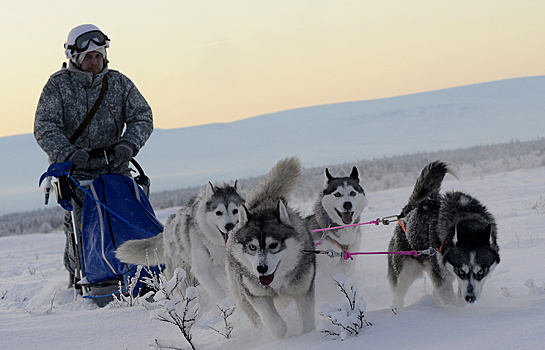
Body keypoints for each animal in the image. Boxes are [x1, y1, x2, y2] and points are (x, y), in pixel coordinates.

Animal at [224, 158, 314, 340]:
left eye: (273, 245)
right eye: (252, 247)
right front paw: (279, 335)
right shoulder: (257, 296)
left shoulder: (303, 291)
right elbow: (276, 324)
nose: (261, 268)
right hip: (242, 294)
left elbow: (308, 323)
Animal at [386, 161, 498, 306]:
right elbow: (448, 297)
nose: (470, 298)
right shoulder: (440, 275)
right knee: (398, 294)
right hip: (405, 273)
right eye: (461, 271)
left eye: (481, 272)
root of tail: (411, 208)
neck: (465, 217)